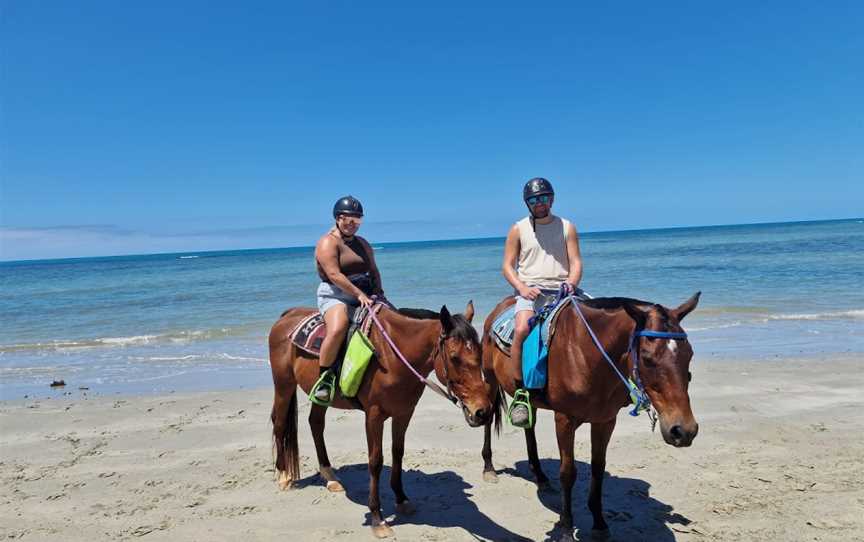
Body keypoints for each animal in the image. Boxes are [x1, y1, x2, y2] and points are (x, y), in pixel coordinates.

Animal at [266, 302, 496, 540]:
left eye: (480, 353)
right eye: (454, 357)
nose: (482, 411)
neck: (392, 357)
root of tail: (288, 315)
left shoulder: (404, 413)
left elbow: (398, 453)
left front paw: (402, 499)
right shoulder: (374, 416)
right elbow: (375, 461)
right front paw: (378, 518)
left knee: (316, 424)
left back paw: (330, 477)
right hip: (284, 384)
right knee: (280, 424)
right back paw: (284, 475)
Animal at [480, 292, 704, 536]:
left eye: (690, 354)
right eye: (646, 358)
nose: (684, 430)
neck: (586, 355)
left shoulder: (605, 421)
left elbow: (598, 468)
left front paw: (599, 524)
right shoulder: (564, 420)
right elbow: (568, 472)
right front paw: (567, 529)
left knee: (530, 426)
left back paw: (540, 476)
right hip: (490, 380)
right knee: (488, 419)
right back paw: (489, 468)